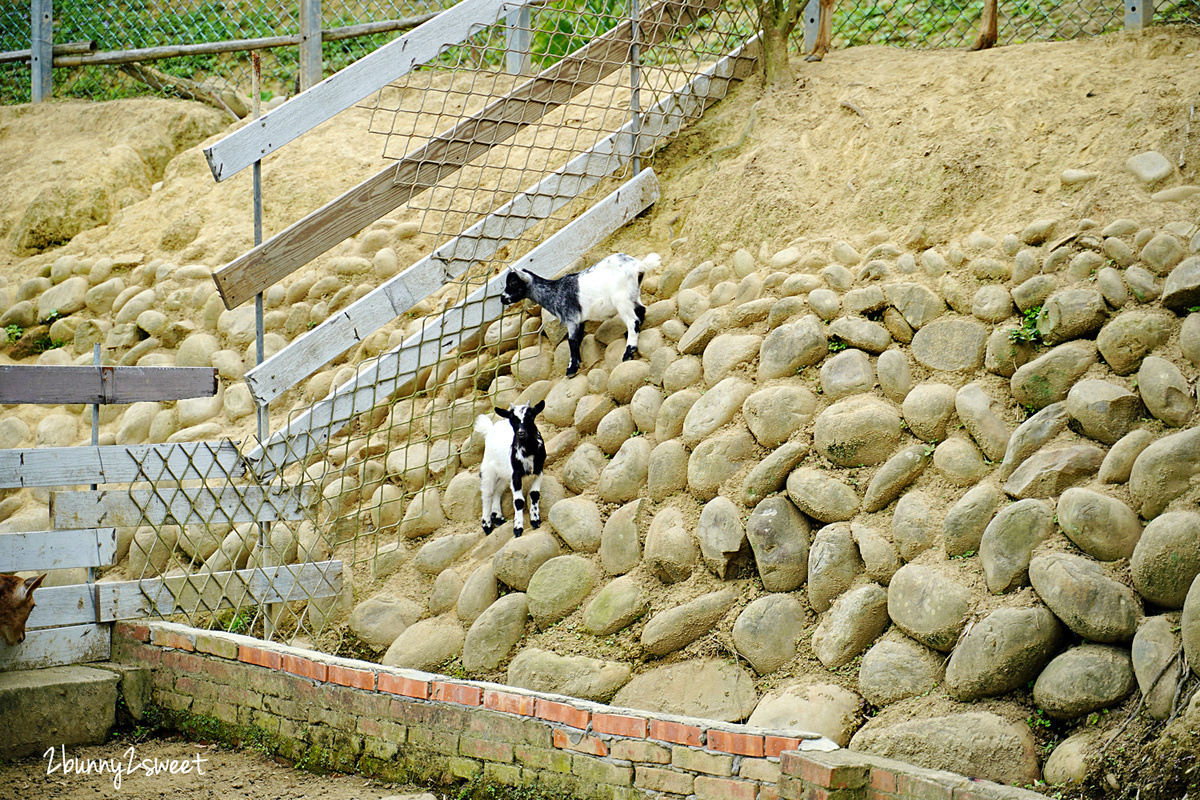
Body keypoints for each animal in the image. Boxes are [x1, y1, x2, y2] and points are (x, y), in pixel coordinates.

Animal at [472, 400, 549, 537]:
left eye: (531, 417)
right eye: (512, 420)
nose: (521, 433)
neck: (528, 451)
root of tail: (491, 429)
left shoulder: (538, 471)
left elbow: (534, 494)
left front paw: (535, 520)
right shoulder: (516, 475)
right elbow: (518, 501)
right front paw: (518, 528)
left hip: (505, 474)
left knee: (497, 490)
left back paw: (497, 517)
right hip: (487, 469)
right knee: (487, 494)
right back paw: (487, 525)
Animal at [499, 251, 662, 376]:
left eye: (513, 283)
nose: (502, 298)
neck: (555, 292)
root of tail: (639, 265)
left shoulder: (571, 318)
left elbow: (572, 341)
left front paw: (571, 369)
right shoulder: (579, 320)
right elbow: (578, 338)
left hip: (621, 298)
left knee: (632, 320)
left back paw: (628, 352)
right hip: (633, 294)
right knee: (640, 311)